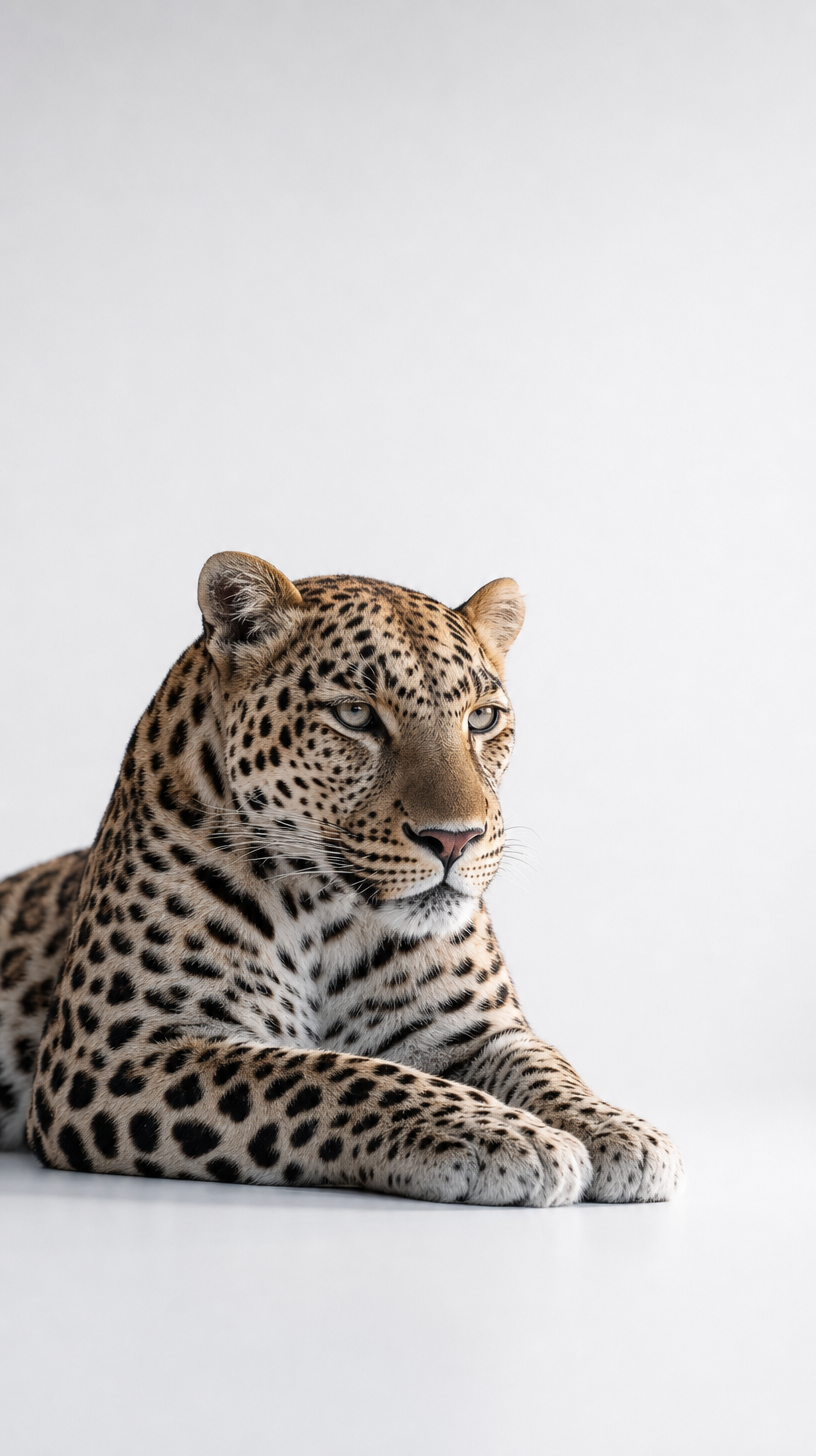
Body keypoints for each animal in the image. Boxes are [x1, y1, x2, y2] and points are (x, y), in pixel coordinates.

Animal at [0, 551, 684, 1206]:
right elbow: (333, 1075)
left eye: (483, 719)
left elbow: (550, 1069)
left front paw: (622, 1130)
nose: (455, 839)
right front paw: (514, 1137)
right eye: (356, 715)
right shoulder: (119, 1048)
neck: (324, 911)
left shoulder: (476, 1031)